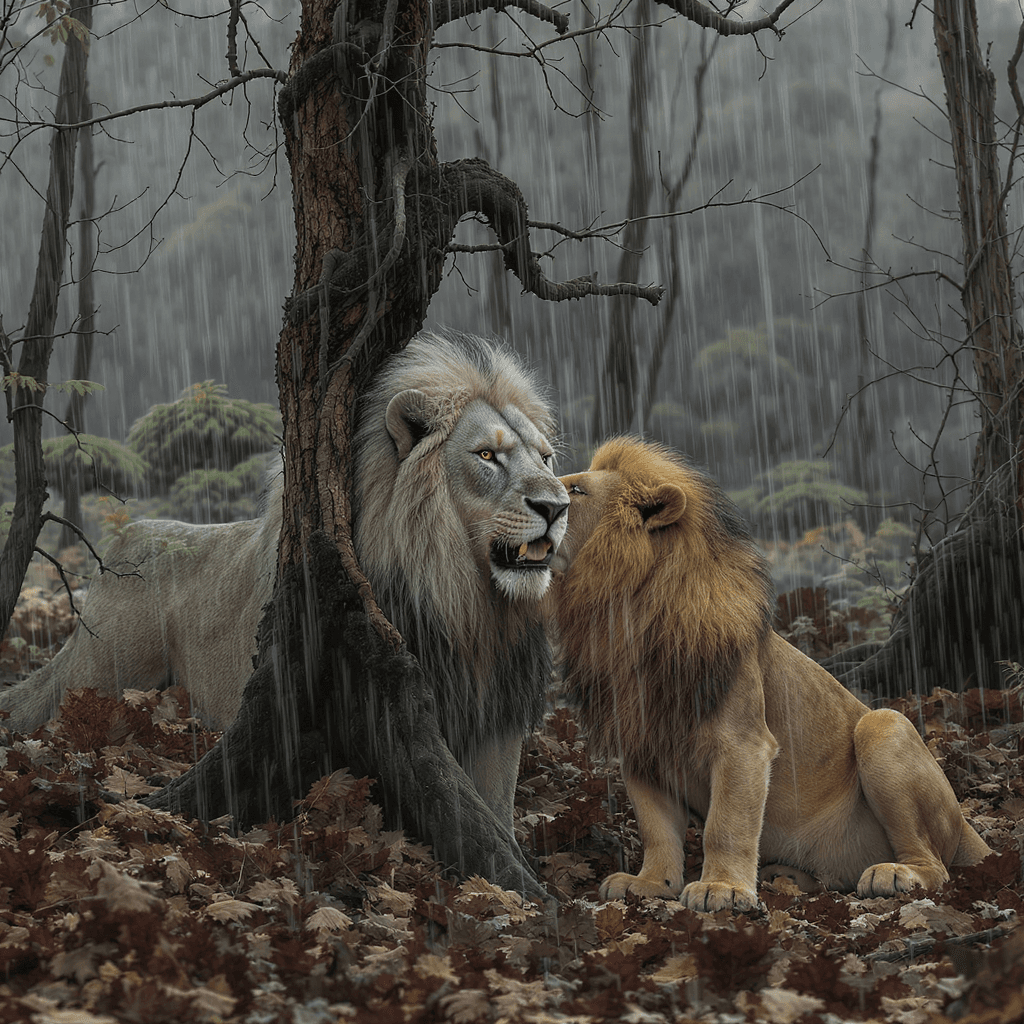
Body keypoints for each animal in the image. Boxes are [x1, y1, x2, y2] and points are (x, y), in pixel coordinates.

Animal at [1, 332, 568, 840]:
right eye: (487, 456)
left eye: (545, 458)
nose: (558, 507)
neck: (471, 605)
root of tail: (124, 542)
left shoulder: (496, 717)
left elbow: (499, 815)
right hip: (106, 675)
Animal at [551, 437, 990, 913]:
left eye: (577, 490)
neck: (622, 615)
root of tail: (969, 829)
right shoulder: (643, 748)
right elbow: (657, 830)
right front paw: (651, 883)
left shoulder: (742, 743)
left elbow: (725, 825)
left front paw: (722, 887)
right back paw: (789, 876)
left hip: (884, 725)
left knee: (936, 864)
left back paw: (895, 873)